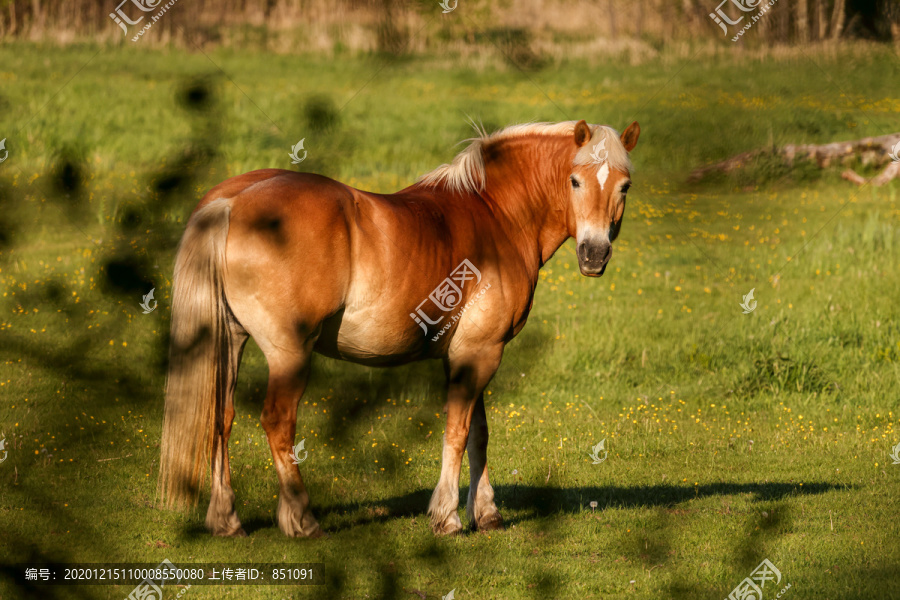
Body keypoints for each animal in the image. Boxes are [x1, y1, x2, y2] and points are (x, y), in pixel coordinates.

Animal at [160, 118, 640, 540]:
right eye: (575, 181)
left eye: (624, 186)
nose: (595, 254)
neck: (494, 214)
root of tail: (233, 201)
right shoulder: (481, 351)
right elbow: (458, 431)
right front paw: (447, 516)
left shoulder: (471, 353)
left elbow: (479, 434)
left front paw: (486, 513)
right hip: (289, 353)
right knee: (278, 423)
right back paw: (302, 520)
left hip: (230, 342)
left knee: (221, 419)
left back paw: (227, 520)